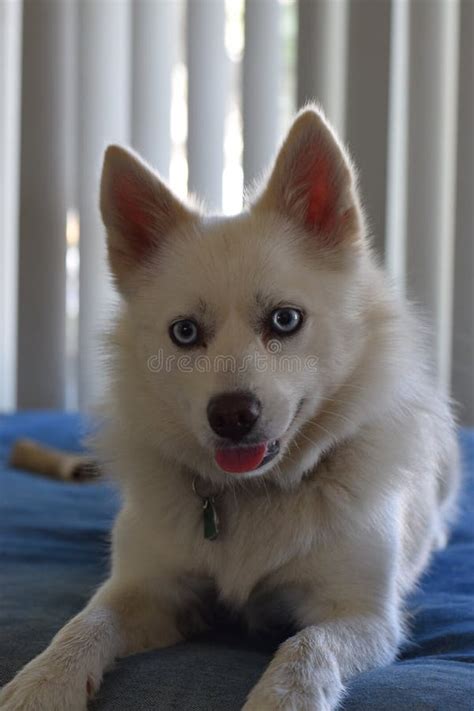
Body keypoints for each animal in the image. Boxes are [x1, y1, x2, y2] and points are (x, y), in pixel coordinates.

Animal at [0, 107, 460, 711]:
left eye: (285, 320)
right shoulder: (146, 590)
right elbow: (86, 623)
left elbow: (307, 647)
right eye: (185, 333)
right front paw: (43, 683)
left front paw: (282, 699)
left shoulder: (362, 615)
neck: (254, 494)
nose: (232, 416)